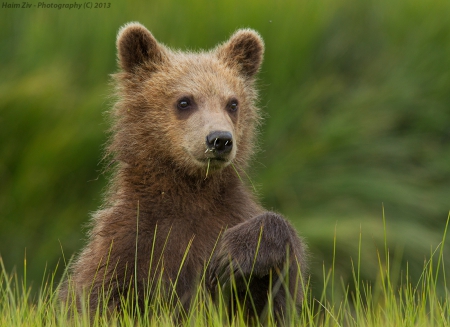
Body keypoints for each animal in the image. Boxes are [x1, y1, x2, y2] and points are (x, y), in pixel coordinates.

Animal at [59, 22, 310, 322]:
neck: (189, 188)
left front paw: (234, 255)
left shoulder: (228, 217)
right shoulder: (128, 239)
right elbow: (96, 299)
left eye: (232, 103)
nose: (220, 140)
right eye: (184, 101)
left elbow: (270, 302)